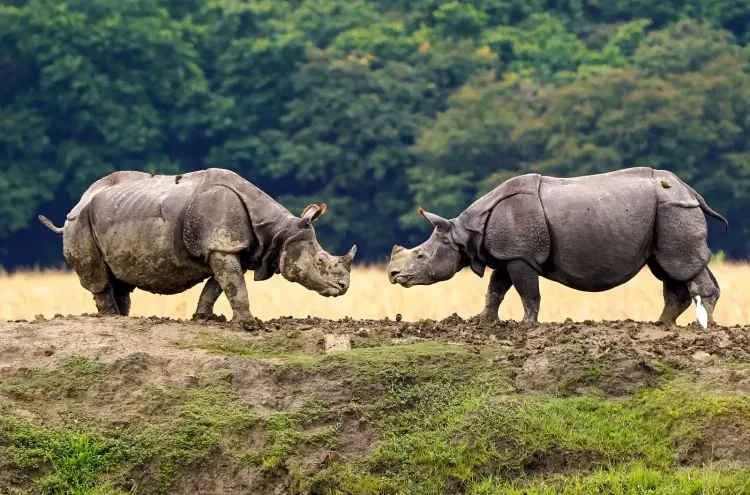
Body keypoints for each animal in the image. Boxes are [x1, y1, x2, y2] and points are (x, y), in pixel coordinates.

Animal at [39, 168, 356, 329]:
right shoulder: (222, 246)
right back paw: (111, 319)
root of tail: (79, 202)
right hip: (79, 223)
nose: (343, 287)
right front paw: (250, 325)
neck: (277, 231)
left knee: (119, 280)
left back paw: (123, 317)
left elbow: (218, 286)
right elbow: (235, 287)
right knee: (98, 278)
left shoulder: (227, 249)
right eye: (320, 261)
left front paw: (206, 318)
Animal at [387, 167, 728, 326]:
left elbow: (527, 292)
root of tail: (691, 191)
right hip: (669, 211)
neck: (465, 231)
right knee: (670, 267)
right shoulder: (509, 253)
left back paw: (705, 327)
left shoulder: (521, 255)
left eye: (420, 255)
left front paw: (526, 326)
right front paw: (484, 322)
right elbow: (495, 290)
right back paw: (661, 325)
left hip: (674, 209)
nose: (392, 275)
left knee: (680, 264)